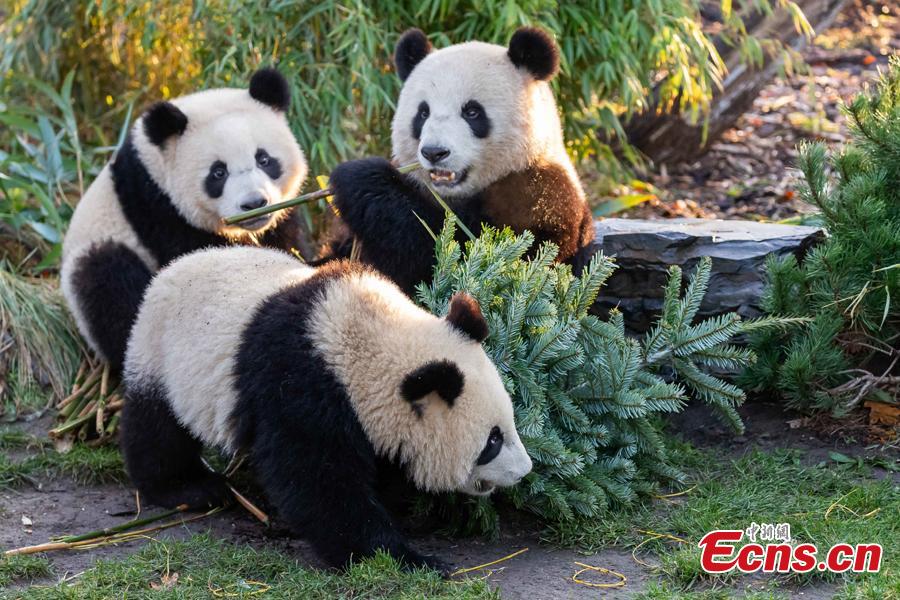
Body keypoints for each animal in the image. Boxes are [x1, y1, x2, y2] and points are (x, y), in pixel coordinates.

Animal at [62, 70, 310, 370]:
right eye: (218, 173)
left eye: (263, 159)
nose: (253, 204)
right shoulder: (156, 205)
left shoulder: (280, 216)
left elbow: (287, 240)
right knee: (106, 280)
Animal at [118, 246, 528, 576]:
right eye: (492, 441)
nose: (525, 471)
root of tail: (170, 267)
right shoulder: (300, 386)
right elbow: (319, 485)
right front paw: (406, 558)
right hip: (161, 351)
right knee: (157, 428)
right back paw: (190, 488)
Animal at [320, 27, 596, 296]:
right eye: (423, 113)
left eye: (472, 112)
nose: (434, 152)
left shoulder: (539, 195)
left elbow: (455, 258)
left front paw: (357, 177)